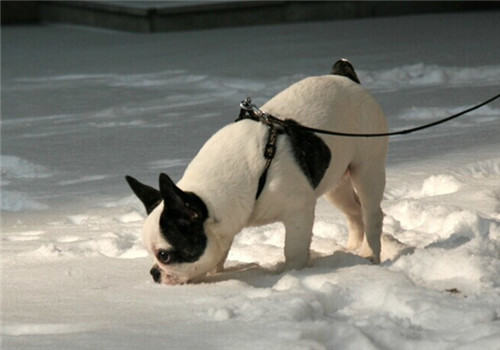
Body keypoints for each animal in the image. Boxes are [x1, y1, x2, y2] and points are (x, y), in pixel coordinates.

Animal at [127, 60, 388, 284]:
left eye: (164, 255)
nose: (154, 273)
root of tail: (345, 76)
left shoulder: (298, 211)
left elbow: (293, 250)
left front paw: (292, 273)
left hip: (367, 169)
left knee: (372, 213)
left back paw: (370, 255)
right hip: (335, 181)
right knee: (354, 211)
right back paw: (352, 249)